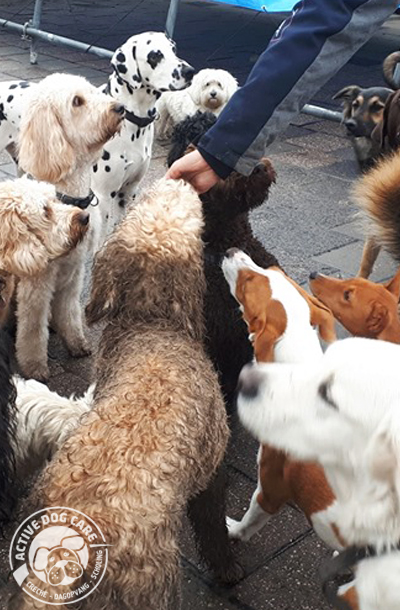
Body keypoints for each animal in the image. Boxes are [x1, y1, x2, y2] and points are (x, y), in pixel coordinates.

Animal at [8, 178, 234, 604]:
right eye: (191, 218)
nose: (180, 178)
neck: (151, 329)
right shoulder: (211, 468)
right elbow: (214, 526)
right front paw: (229, 568)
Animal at [14, 70, 123, 376]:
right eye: (77, 101)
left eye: (93, 90)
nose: (121, 108)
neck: (68, 197)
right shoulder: (36, 285)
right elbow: (32, 330)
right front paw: (35, 368)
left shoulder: (74, 274)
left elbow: (70, 313)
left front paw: (77, 344)